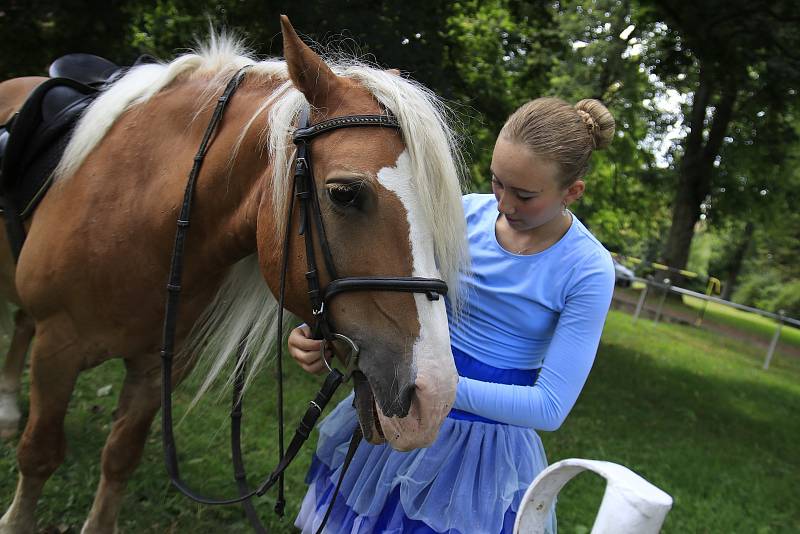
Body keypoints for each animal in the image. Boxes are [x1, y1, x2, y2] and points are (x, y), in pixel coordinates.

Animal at [0, 16, 468, 534]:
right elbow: (39, 455)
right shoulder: (56, 349)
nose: (433, 397)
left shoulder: (158, 367)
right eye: (344, 193)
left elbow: (120, 456)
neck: (130, 209)